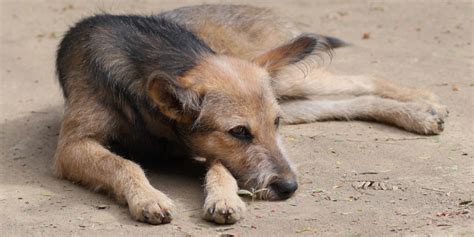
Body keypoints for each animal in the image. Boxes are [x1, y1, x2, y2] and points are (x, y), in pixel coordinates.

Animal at [54, 4, 448, 225]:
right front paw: (148, 198)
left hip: (290, 81)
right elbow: (124, 164)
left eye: (273, 124)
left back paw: (423, 102)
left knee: (364, 79)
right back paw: (420, 113)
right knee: (351, 101)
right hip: (293, 96)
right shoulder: (72, 147)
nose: (290, 188)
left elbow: (220, 168)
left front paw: (223, 198)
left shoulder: (204, 147)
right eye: (240, 132)